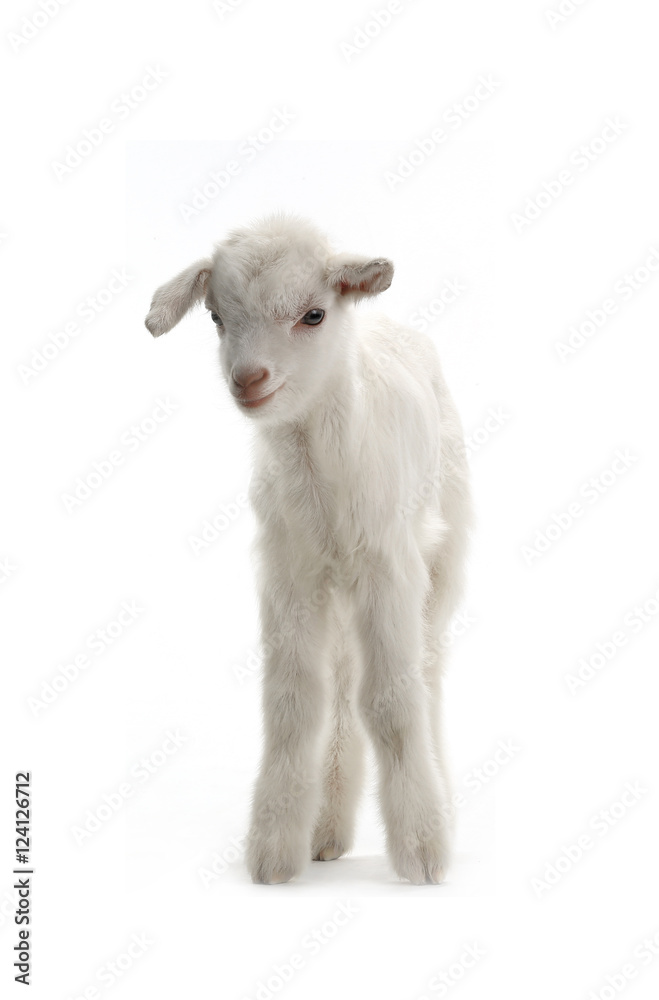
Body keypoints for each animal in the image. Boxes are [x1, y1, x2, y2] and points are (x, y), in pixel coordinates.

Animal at [145, 214, 472, 884]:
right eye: (216, 317)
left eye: (314, 314)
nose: (249, 380)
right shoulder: (288, 573)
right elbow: (294, 701)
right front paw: (274, 855)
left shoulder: (388, 567)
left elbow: (393, 700)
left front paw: (422, 853)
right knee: (343, 687)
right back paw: (326, 833)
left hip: (442, 552)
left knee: (425, 671)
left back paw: (439, 812)